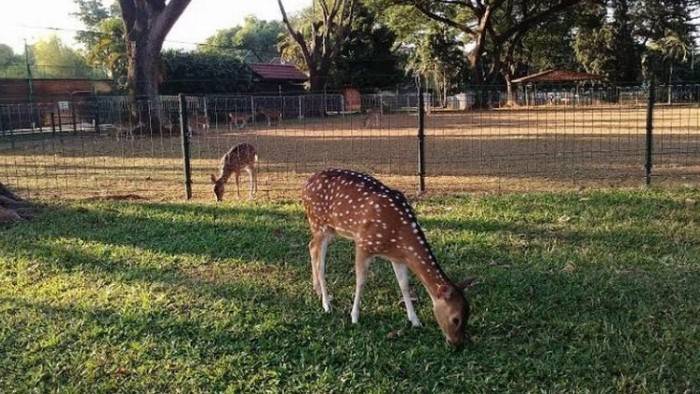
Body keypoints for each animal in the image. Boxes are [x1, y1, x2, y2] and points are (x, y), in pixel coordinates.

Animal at [302, 168, 476, 346]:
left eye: (468, 315)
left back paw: (318, 291)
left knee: (311, 247)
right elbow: (361, 281)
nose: (457, 343)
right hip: (318, 223)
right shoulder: (363, 243)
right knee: (320, 262)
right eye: (456, 319)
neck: (398, 235)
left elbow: (404, 285)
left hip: (330, 230)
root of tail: (306, 184)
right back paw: (326, 304)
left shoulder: (397, 257)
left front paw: (415, 321)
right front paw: (354, 316)